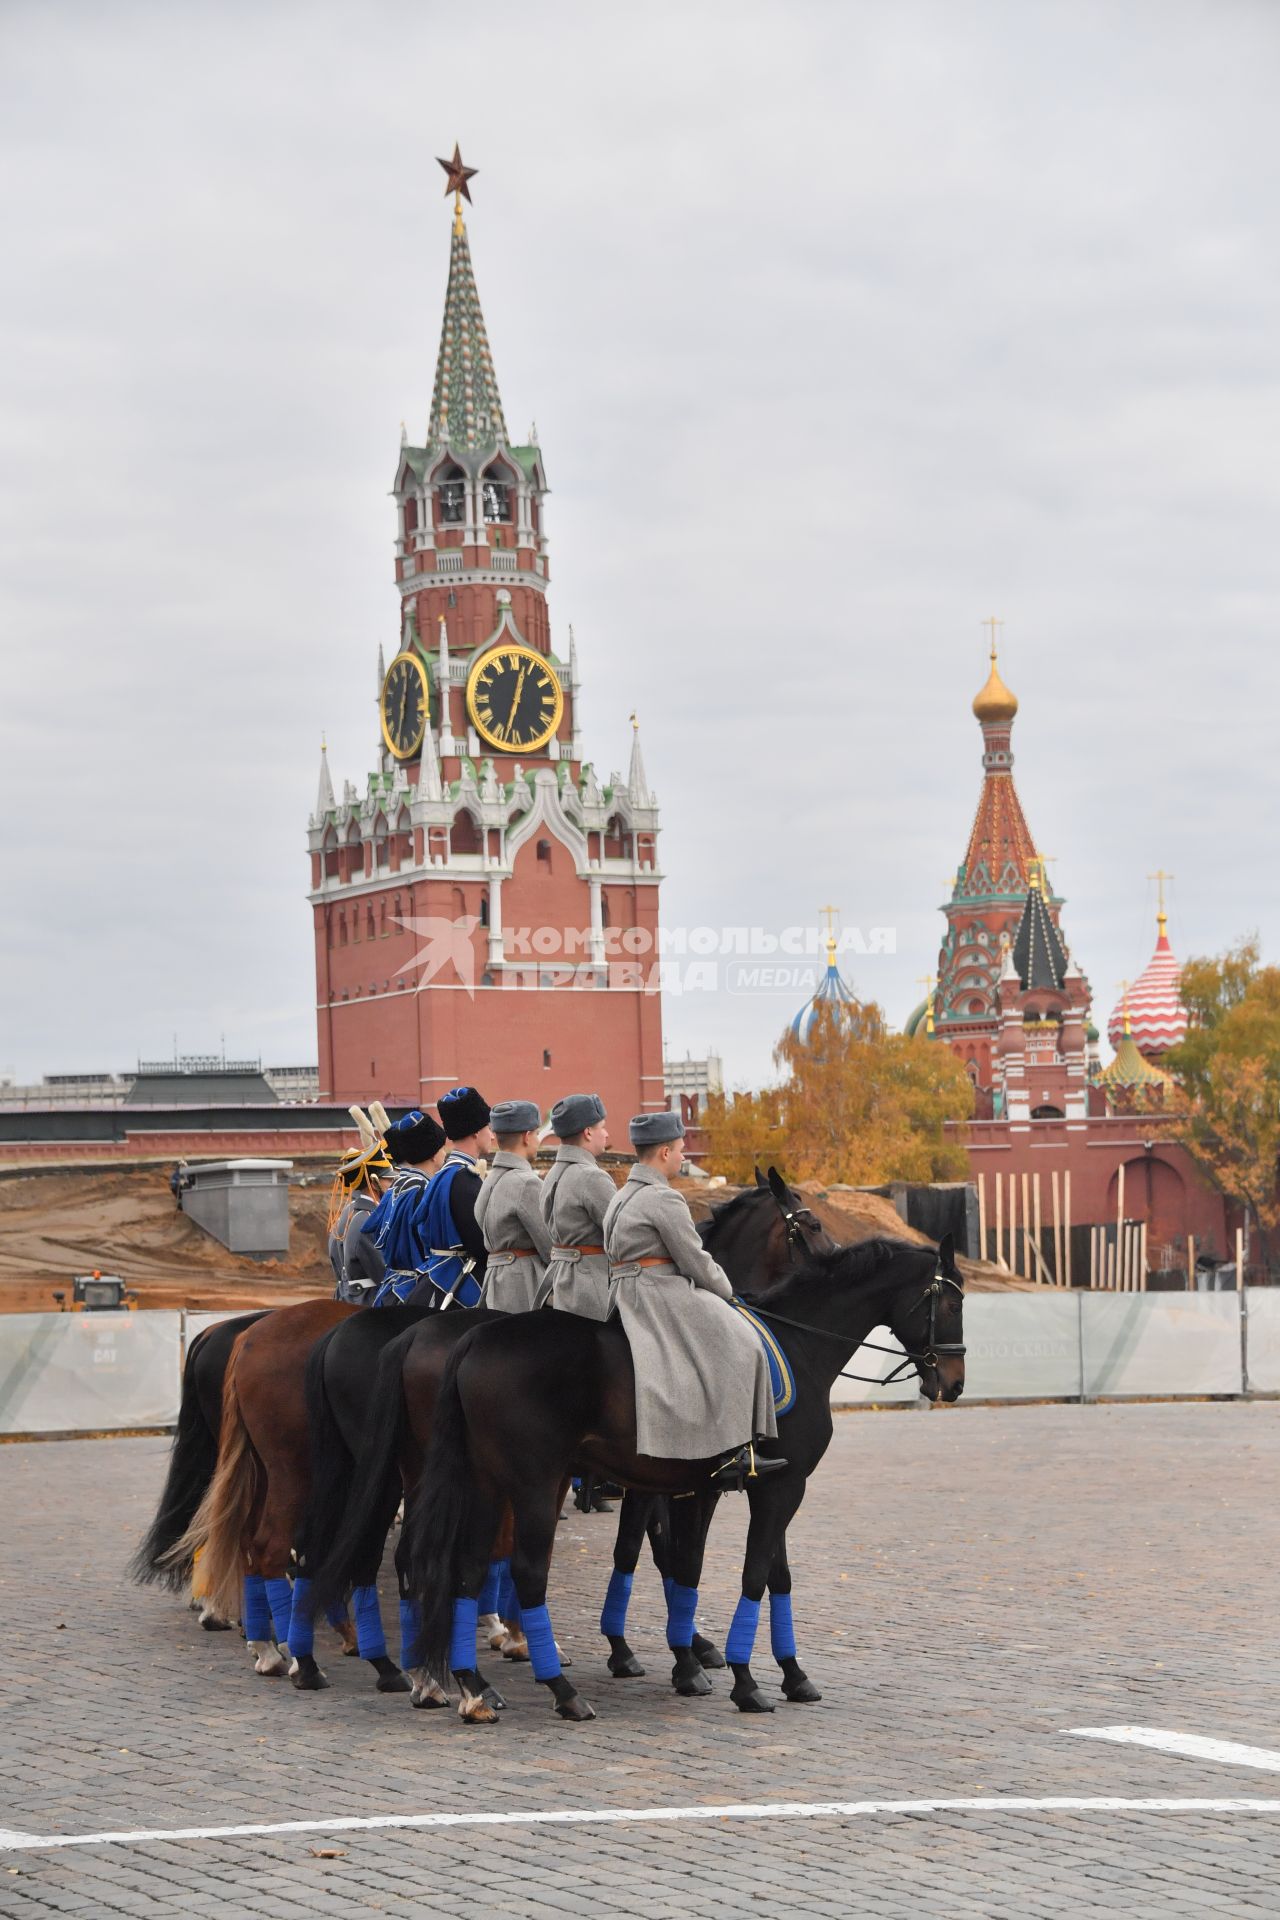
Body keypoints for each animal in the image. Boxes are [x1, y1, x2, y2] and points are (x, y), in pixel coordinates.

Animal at [408, 1244, 959, 1728]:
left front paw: (785, 1673)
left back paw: (473, 1688)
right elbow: (747, 1574)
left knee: (469, 1567)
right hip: (536, 1484)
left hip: (488, 1483)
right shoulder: (776, 1489)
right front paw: (743, 1680)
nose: (953, 1383)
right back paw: (560, 1692)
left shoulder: (740, 1486)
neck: (799, 1346)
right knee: (525, 1571)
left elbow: (747, 1573)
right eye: (953, 1304)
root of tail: (476, 1337)